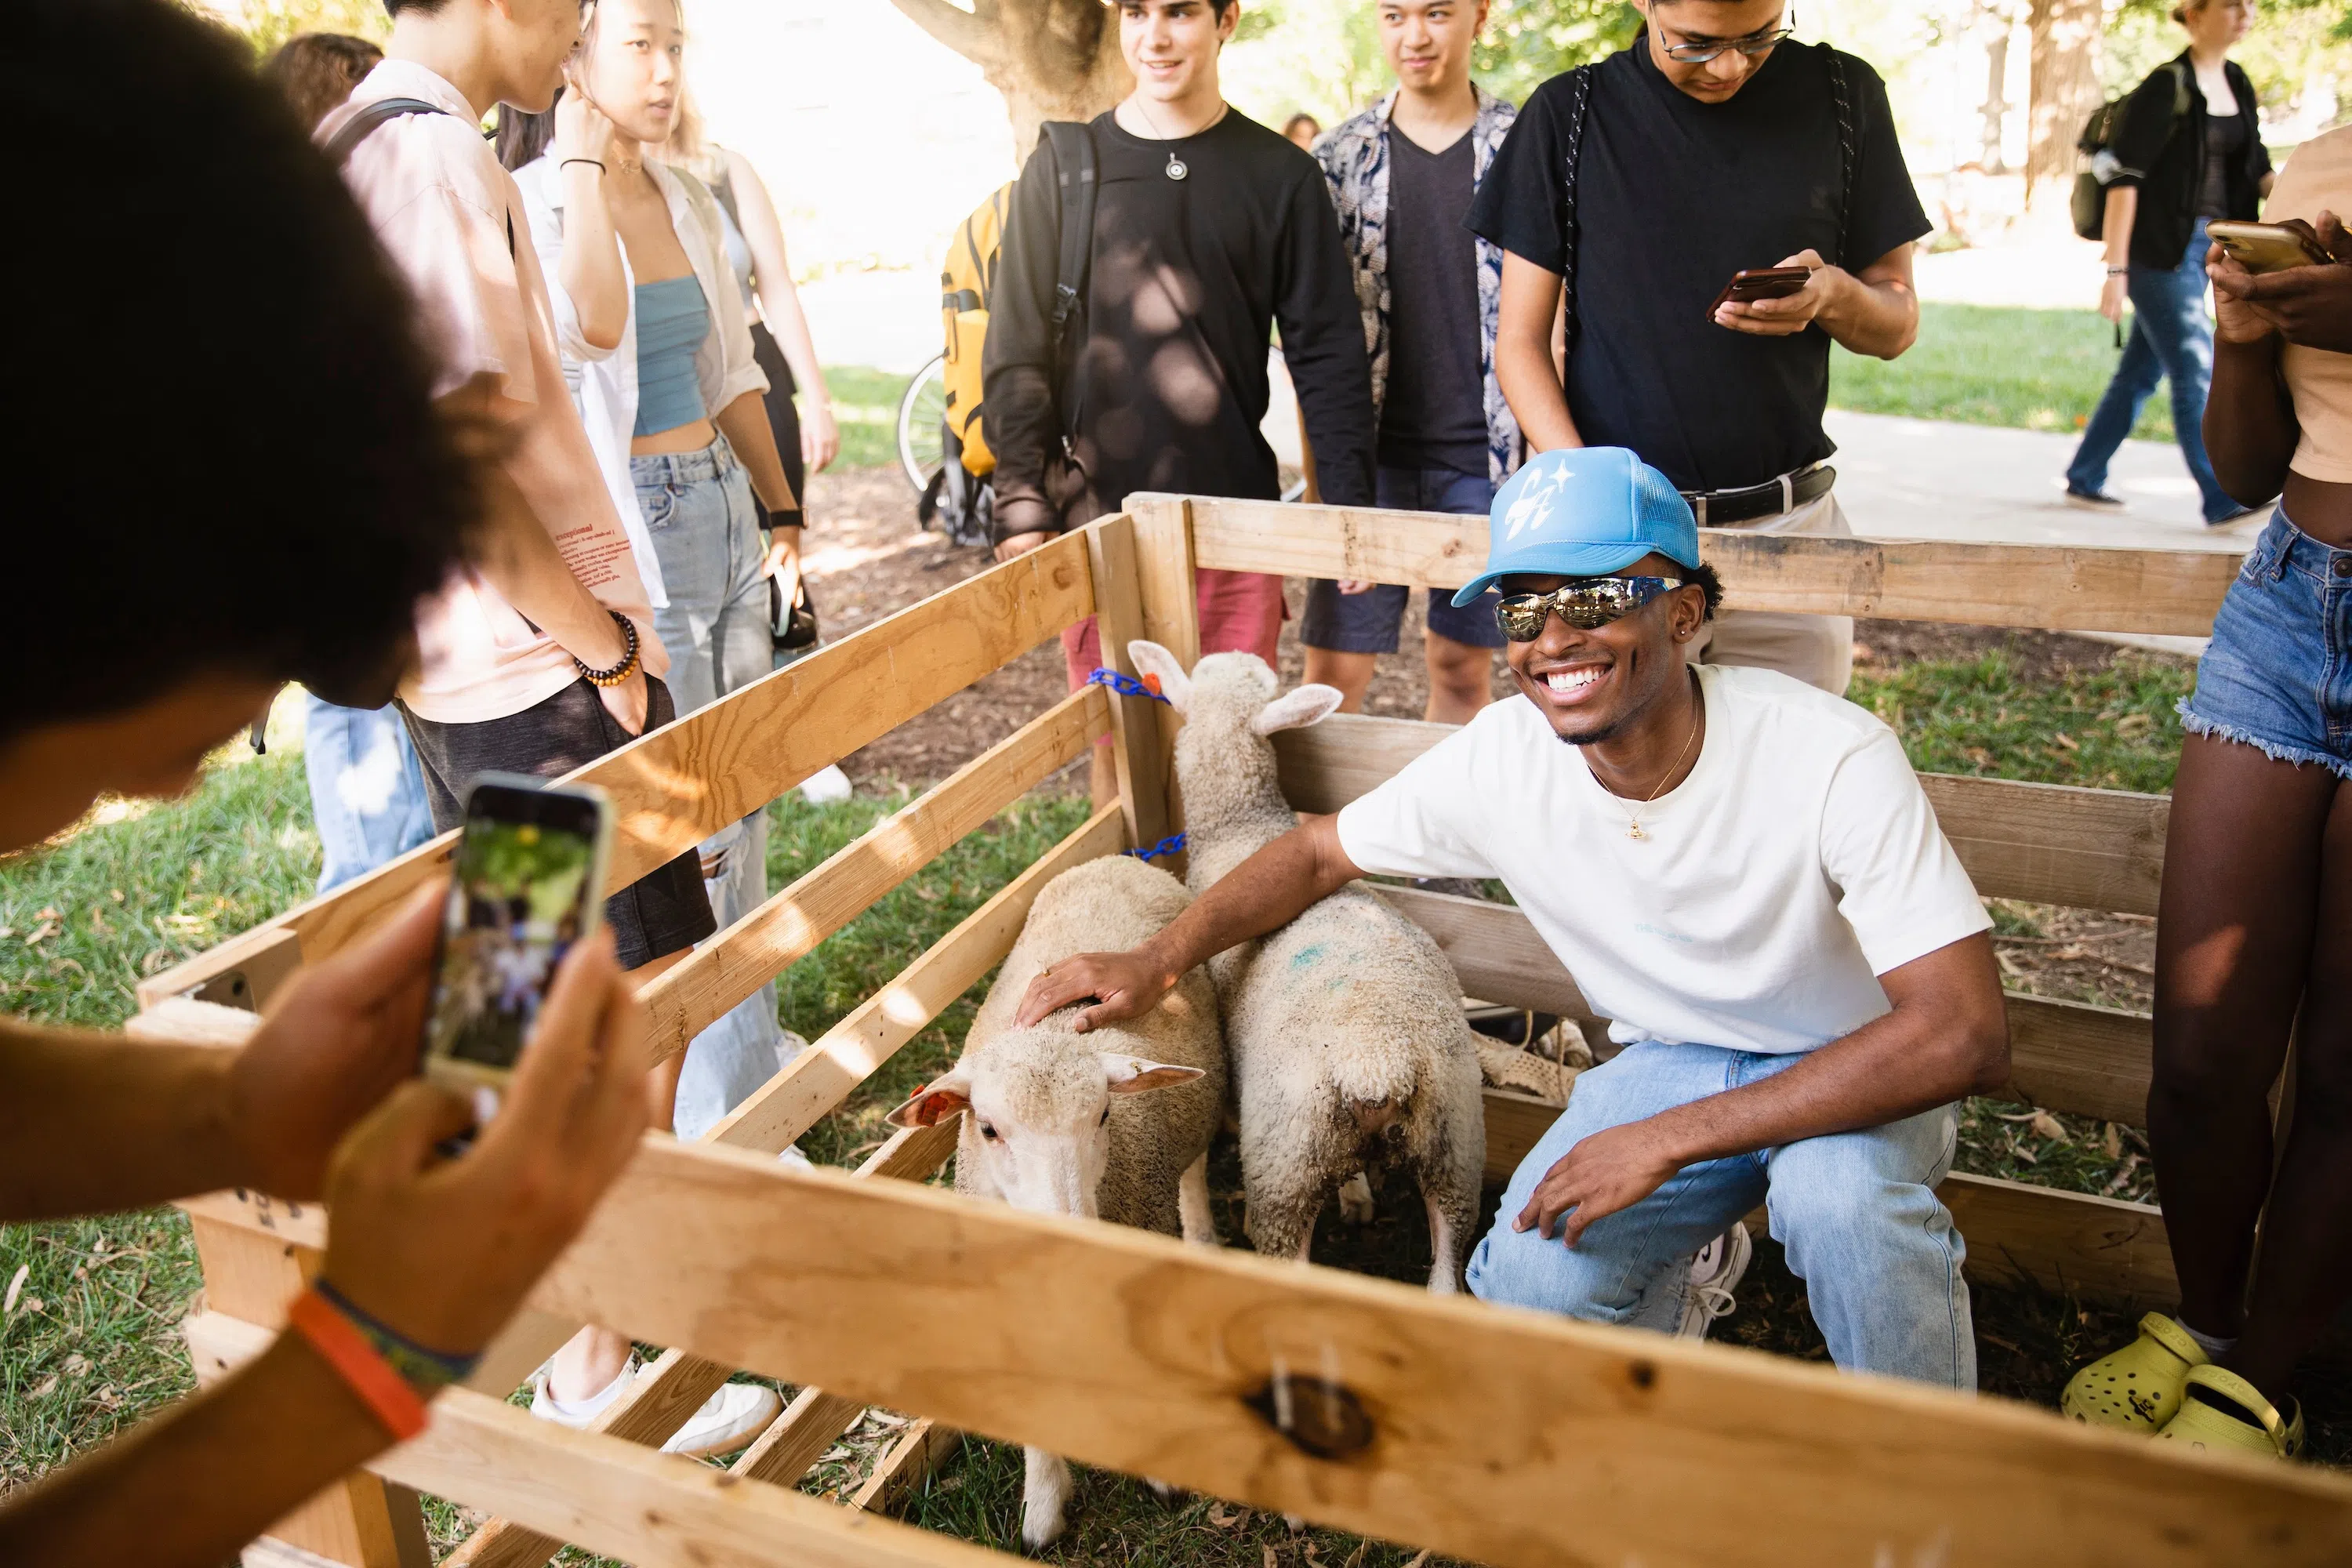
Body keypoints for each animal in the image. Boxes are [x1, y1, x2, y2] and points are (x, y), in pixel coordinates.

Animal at [1129, 639, 1477, 1288]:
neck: (1242, 828)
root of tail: (1378, 1063)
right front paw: (1358, 1196)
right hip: (1455, 1151)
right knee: (1448, 1269)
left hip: (1284, 1165)